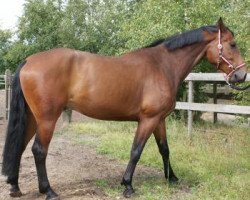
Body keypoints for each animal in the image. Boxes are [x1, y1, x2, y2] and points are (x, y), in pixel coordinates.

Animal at [1, 18, 248, 198]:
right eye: (233, 44)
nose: (241, 75)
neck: (162, 66)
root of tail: (29, 61)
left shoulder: (159, 120)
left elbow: (164, 149)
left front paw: (172, 178)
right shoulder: (148, 120)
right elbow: (136, 151)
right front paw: (128, 185)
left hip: (33, 118)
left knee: (20, 146)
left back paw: (15, 187)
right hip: (47, 119)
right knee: (38, 150)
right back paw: (49, 191)